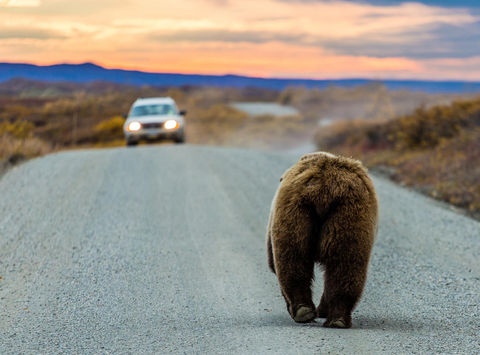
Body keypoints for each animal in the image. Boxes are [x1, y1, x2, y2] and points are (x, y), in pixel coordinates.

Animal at [268, 152, 376, 330]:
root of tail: (324, 188)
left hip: (295, 211)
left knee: (292, 261)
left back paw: (303, 311)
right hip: (347, 215)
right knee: (345, 264)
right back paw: (336, 319)